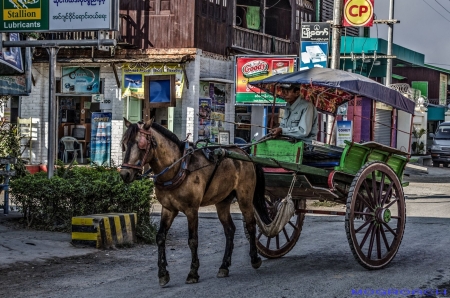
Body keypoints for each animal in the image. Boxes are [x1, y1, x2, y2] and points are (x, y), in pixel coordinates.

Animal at [118, 118, 270, 286]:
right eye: (124, 144)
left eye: (141, 145)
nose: (125, 174)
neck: (177, 168)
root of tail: (244, 153)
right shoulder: (168, 209)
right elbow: (160, 237)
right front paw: (163, 273)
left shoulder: (192, 210)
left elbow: (193, 240)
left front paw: (193, 273)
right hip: (222, 201)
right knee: (230, 230)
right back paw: (224, 266)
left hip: (245, 198)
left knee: (250, 225)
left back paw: (255, 259)